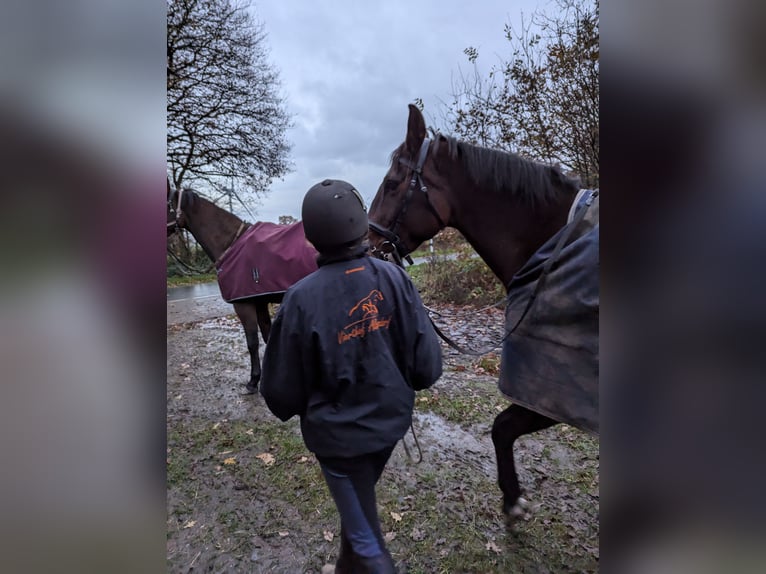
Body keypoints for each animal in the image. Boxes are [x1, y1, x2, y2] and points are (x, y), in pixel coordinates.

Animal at [167, 184, 316, 396]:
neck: (230, 244)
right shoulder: (259, 302)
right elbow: (267, 336)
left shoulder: (243, 305)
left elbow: (252, 342)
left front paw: (253, 382)